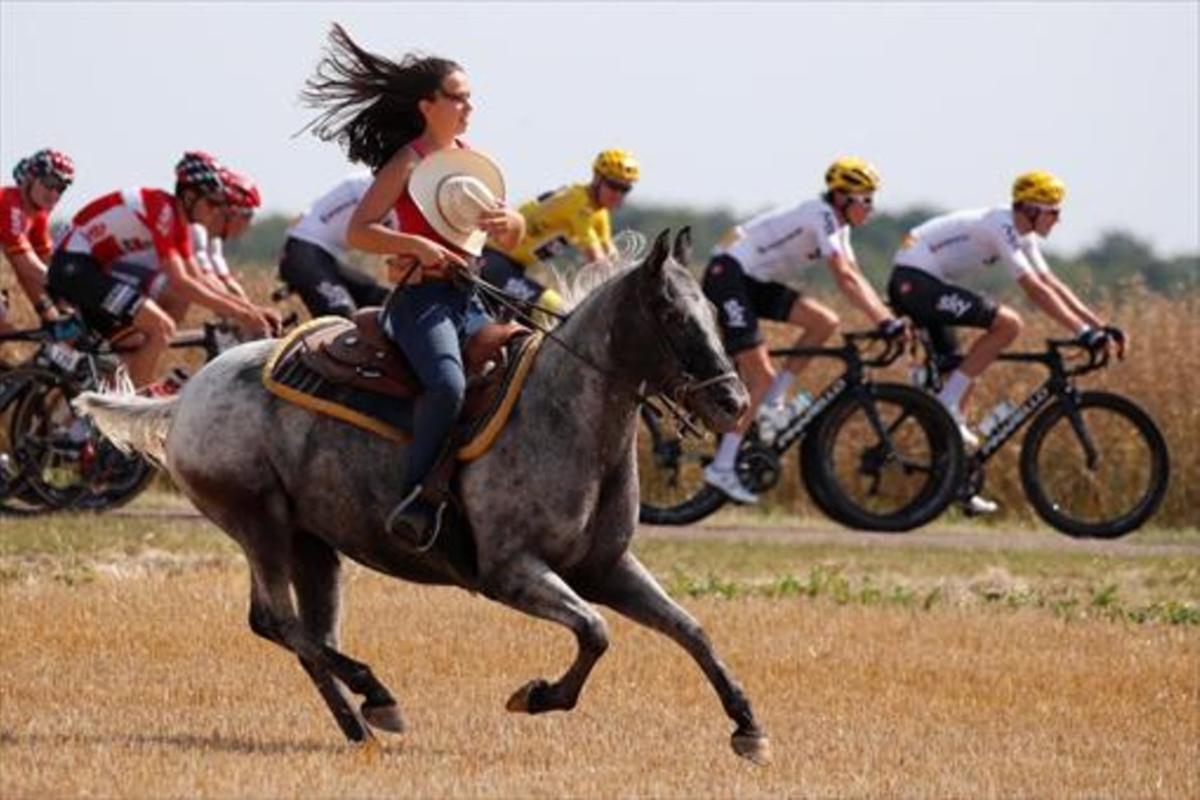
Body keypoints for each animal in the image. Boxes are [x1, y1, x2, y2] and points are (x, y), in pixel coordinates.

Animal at [79, 230, 768, 762]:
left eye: (714, 313)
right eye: (673, 315)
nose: (733, 403)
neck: (565, 414)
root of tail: (188, 395)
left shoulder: (607, 568)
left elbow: (691, 629)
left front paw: (748, 727)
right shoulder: (513, 573)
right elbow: (596, 633)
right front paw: (537, 696)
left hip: (312, 545)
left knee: (305, 633)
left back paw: (363, 717)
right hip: (260, 523)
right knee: (276, 621)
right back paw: (372, 698)